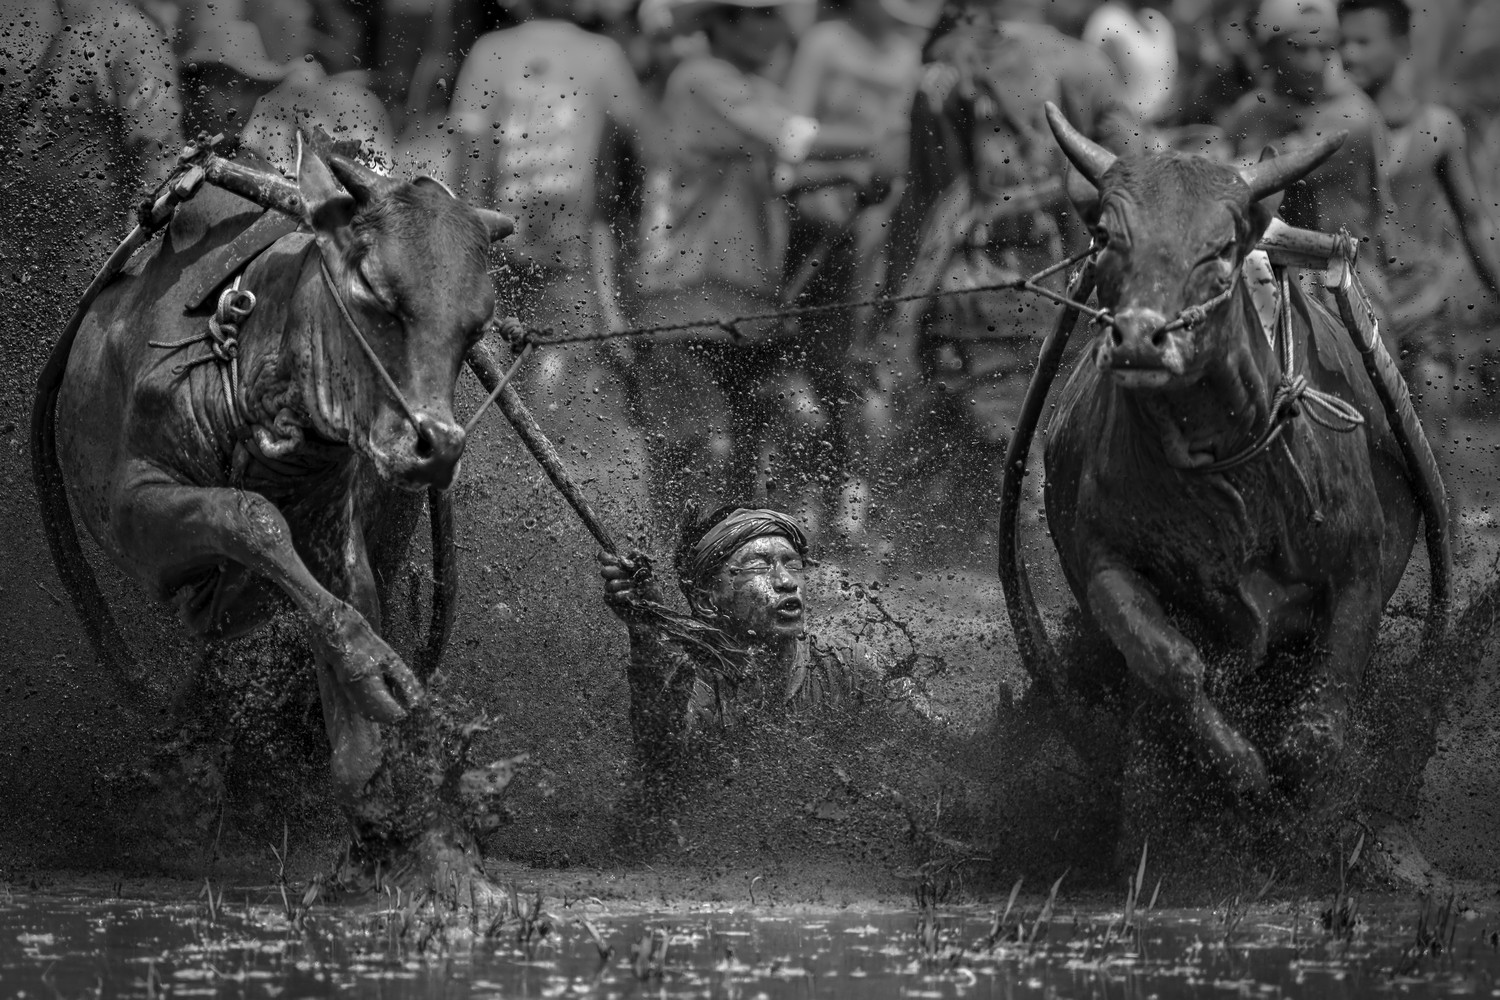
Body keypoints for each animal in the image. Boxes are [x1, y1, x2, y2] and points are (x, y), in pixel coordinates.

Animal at [36, 135, 512, 847]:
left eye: (475, 327)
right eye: (375, 291)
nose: (438, 446)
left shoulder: (337, 531)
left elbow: (350, 626)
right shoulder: (134, 514)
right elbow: (249, 517)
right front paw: (379, 670)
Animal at [1038, 105, 1420, 802]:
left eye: (1220, 247)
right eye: (1105, 236)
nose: (1138, 338)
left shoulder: (1360, 560)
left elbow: (1323, 711)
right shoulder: (1103, 558)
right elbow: (1172, 664)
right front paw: (1239, 764)